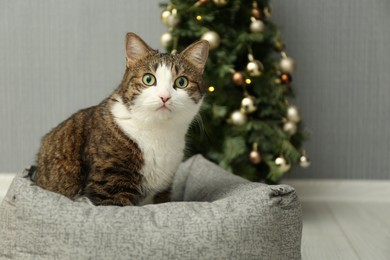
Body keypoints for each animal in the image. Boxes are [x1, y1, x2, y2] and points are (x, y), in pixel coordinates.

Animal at [33, 32, 209, 206]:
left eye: (182, 82)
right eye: (148, 79)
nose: (164, 97)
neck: (158, 132)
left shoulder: (162, 190)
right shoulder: (108, 186)